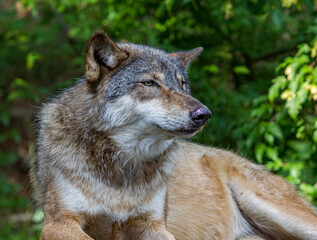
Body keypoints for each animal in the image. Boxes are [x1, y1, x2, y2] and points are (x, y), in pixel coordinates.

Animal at [30, 31, 316, 239]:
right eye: (149, 83)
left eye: (182, 84)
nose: (204, 114)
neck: (123, 170)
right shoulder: (59, 222)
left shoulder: (151, 224)